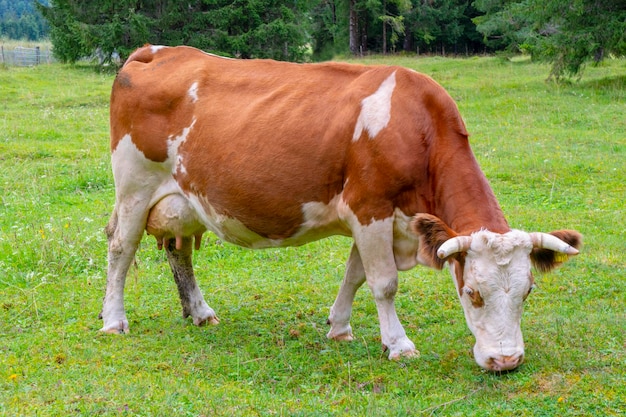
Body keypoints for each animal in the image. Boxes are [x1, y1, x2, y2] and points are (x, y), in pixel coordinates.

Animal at [102, 44, 580, 370]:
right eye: (473, 292)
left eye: (528, 291)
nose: (506, 361)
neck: (418, 127)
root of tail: (156, 52)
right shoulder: (370, 207)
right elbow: (384, 283)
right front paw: (399, 345)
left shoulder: (379, 219)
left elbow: (355, 275)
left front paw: (340, 327)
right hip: (134, 187)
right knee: (120, 249)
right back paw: (114, 320)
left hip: (183, 200)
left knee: (178, 251)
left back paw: (200, 313)